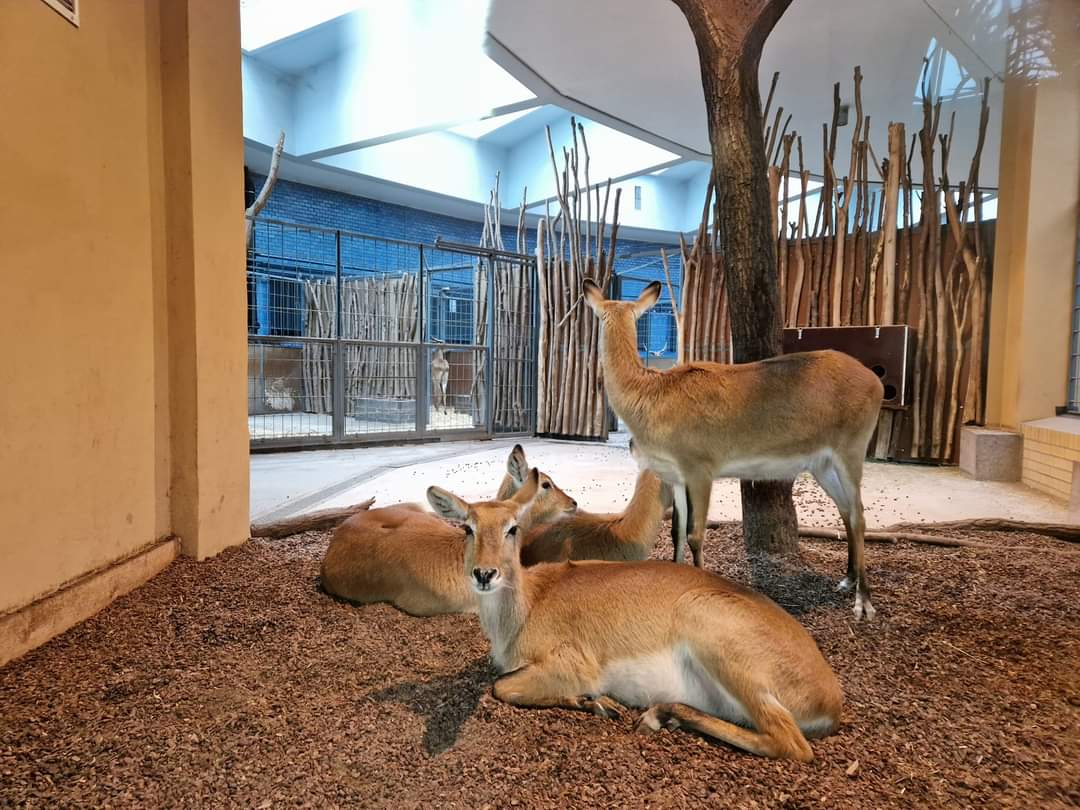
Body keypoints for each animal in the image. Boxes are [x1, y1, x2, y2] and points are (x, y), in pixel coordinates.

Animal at [426, 486, 844, 761]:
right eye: (468, 527)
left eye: (512, 527)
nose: (485, 574)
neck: (531, 602)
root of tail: (831, 698)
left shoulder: (573, 664)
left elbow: (501, 687)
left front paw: (597, 702)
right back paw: (664, 715)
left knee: (791, 744)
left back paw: (657, 715)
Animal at [582, 279, 884, 620]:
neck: (651, 395)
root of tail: (875, 380)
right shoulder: (675, 477)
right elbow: (676, 532)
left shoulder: (700, 470)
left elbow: (696, 534)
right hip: (822, 464)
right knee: (846, 510)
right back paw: (846, 581)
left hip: (851, 452)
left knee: (859, 514)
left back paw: (864, 604)